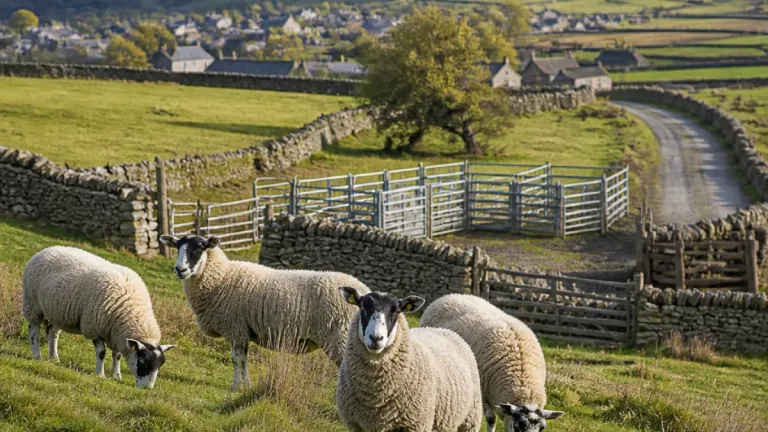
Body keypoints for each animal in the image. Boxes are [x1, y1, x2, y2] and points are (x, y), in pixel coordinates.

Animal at [22, 246, 175, 389]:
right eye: (142, 361)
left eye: (160, 364)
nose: (147, 389)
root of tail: (46, 250)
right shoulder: (94, 328)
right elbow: (102, 353)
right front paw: (100, 374)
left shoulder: (116, 334)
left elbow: (117, 355)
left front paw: (116, 376)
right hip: (32, 303)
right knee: (34, 331)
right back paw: (37, 356)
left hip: (57, 312)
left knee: (52, 333)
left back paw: (54, 359)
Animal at [159, 234, 371, 391]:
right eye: (177, 247)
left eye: (199, 248)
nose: (179, 269)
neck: (222, 278)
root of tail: (364, 292)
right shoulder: (242, 331)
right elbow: (243, 361)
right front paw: (246, 386)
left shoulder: (236, 329)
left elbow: (236, 360)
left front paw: (236, 387)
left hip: (339, 336)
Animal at [335, 287, 483, 432]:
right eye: (363, 307)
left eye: (396, 311)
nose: (376, 338)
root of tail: (444, 330)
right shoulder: (356, 425)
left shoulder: (416, 424)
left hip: (470, 419)